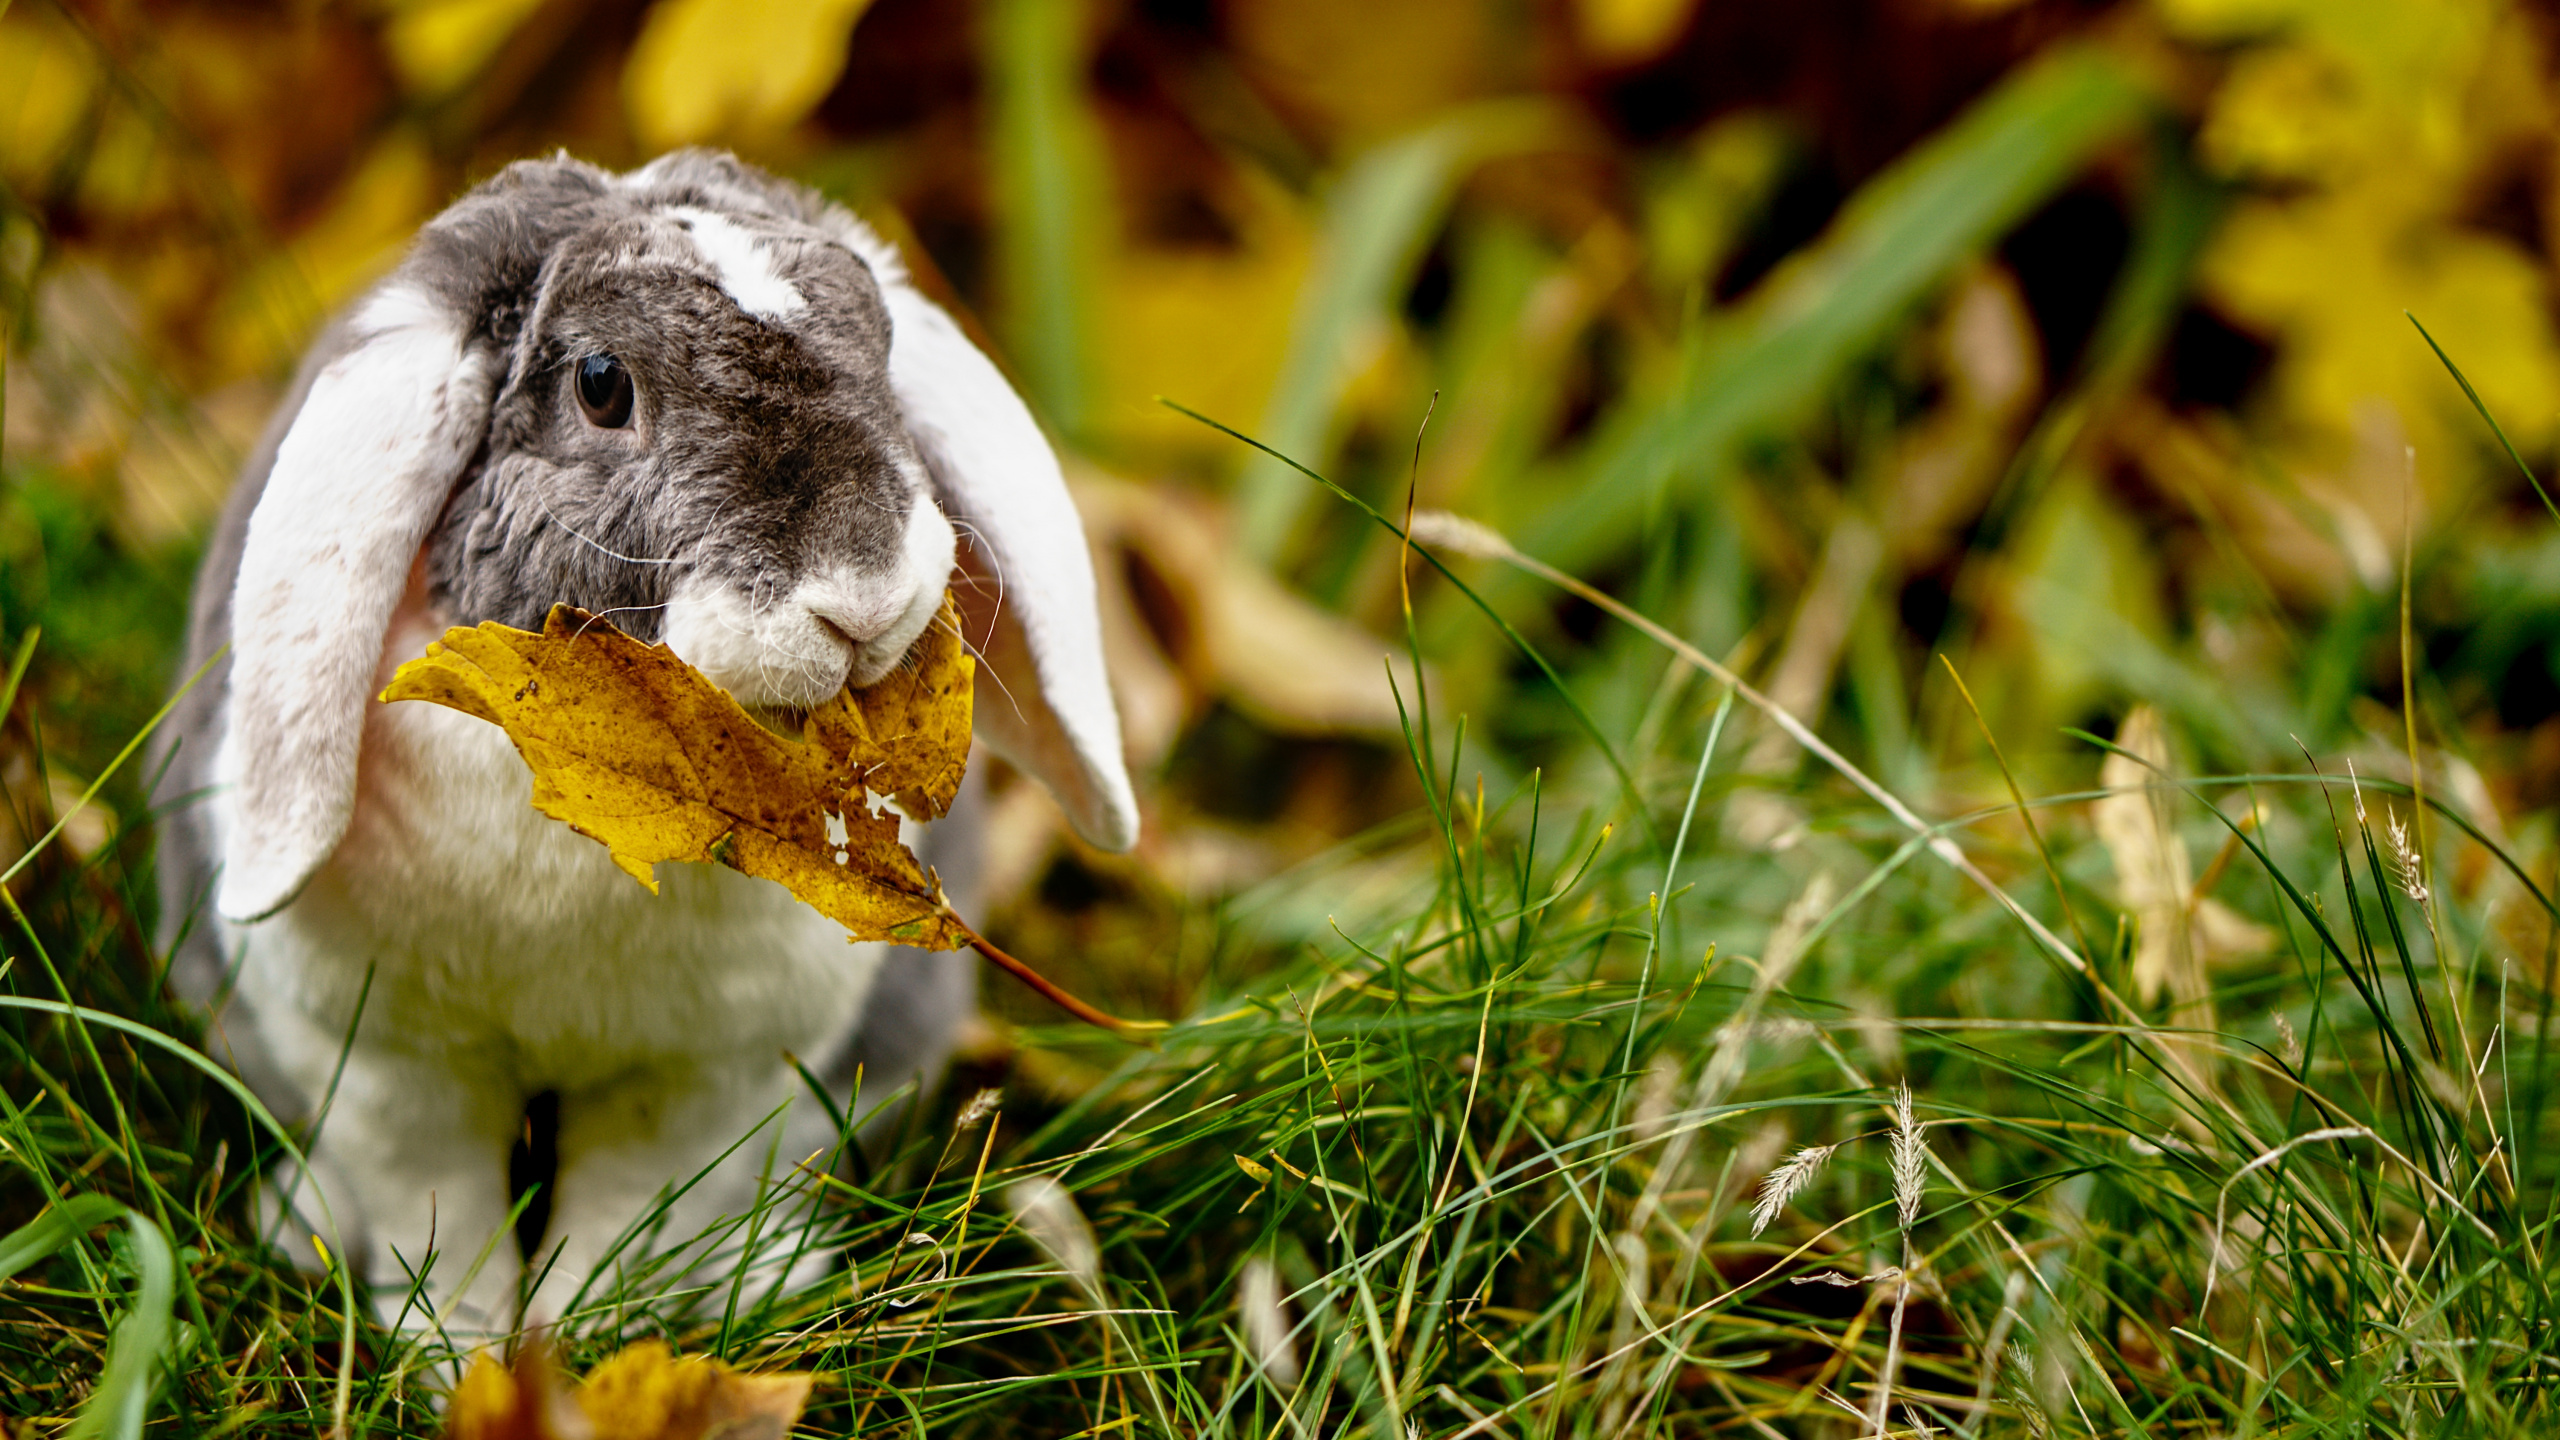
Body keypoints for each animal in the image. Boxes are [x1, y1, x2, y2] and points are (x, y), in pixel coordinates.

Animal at [147, 151, 1131, 1332]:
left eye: (883, 346)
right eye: (602, 383)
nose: (865, 598)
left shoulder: (710, 1077)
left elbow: (628, 1221)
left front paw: (574, 1339)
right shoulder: (388, 1065)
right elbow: (435, 1218)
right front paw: (456, 1350)